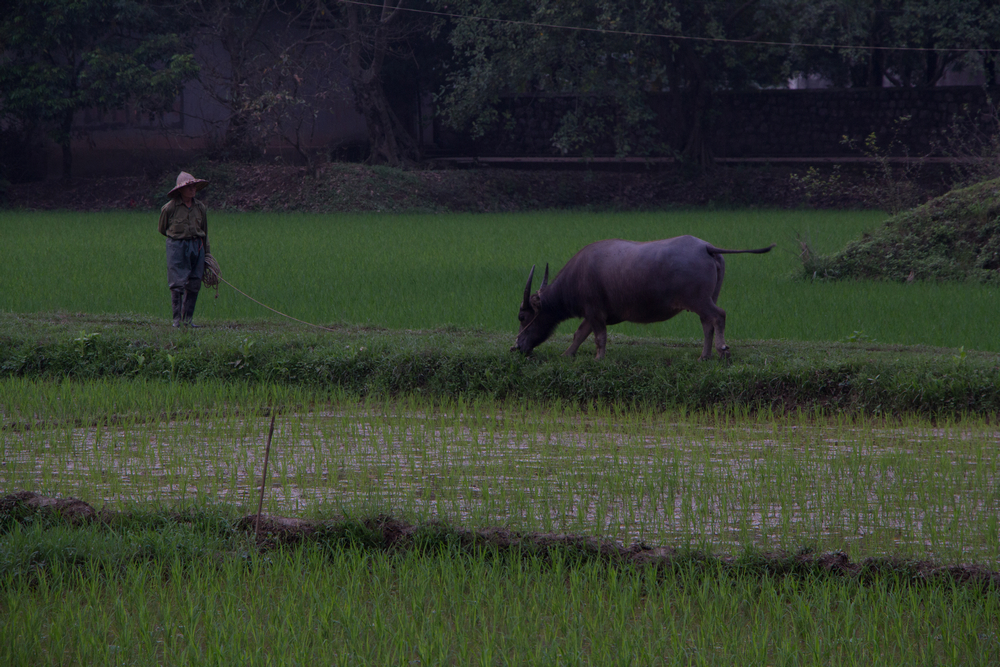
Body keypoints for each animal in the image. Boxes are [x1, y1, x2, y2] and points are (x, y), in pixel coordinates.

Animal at [512, 235, 776, 360]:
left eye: (522, 316)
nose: (518, 347)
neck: (577, 277)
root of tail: (706, 247)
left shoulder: (595, 312)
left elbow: (598, 337)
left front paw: (598, 358)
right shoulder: (593, 314)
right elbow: (579, 334)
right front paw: (567, 354)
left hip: (700, 300)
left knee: (718, 316)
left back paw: (722, 350)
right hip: (708, 298)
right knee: (707, 324)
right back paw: (704, 356)